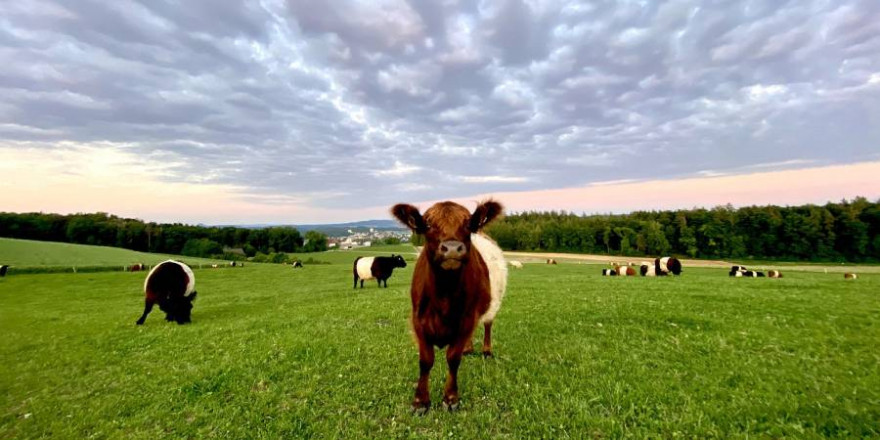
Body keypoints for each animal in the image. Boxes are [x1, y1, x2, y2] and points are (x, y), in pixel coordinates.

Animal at [394, 201, 508, 414]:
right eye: (428, 224)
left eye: (468, 224)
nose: (453, 248)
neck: (444, 294)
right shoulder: (419, 321)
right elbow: (425, 361)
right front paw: (420, 401)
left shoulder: (466, 319)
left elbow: (453, 359)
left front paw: (451, 398)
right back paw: (469, 348)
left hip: (493, 301)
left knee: (488, 324)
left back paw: (486, 351)